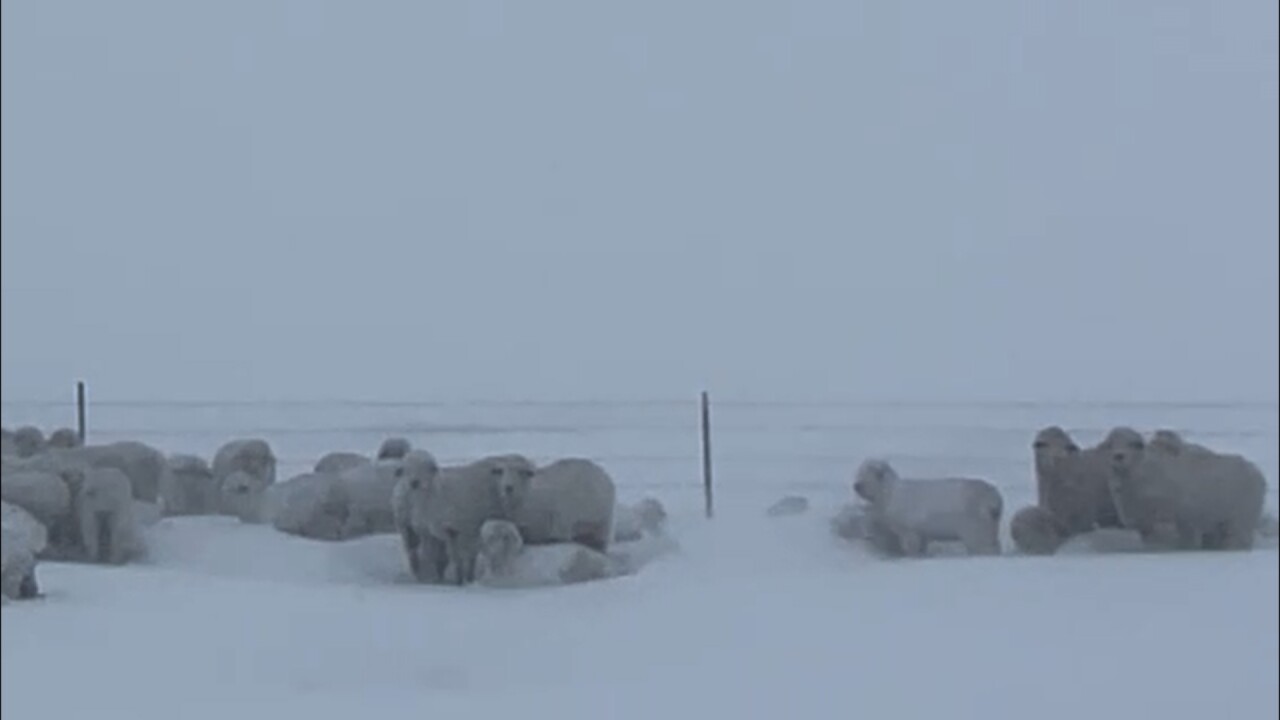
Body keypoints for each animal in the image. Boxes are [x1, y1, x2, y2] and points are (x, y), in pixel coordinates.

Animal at [852, 458, 1003, 557]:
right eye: (859, 472)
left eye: (867, 476)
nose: (856, 485)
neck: (889, 494)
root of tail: (994, 500)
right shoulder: (921, 531)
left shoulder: (909, 527)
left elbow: (911, 544)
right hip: (988, 526)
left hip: (974, 525)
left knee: (983, 546)